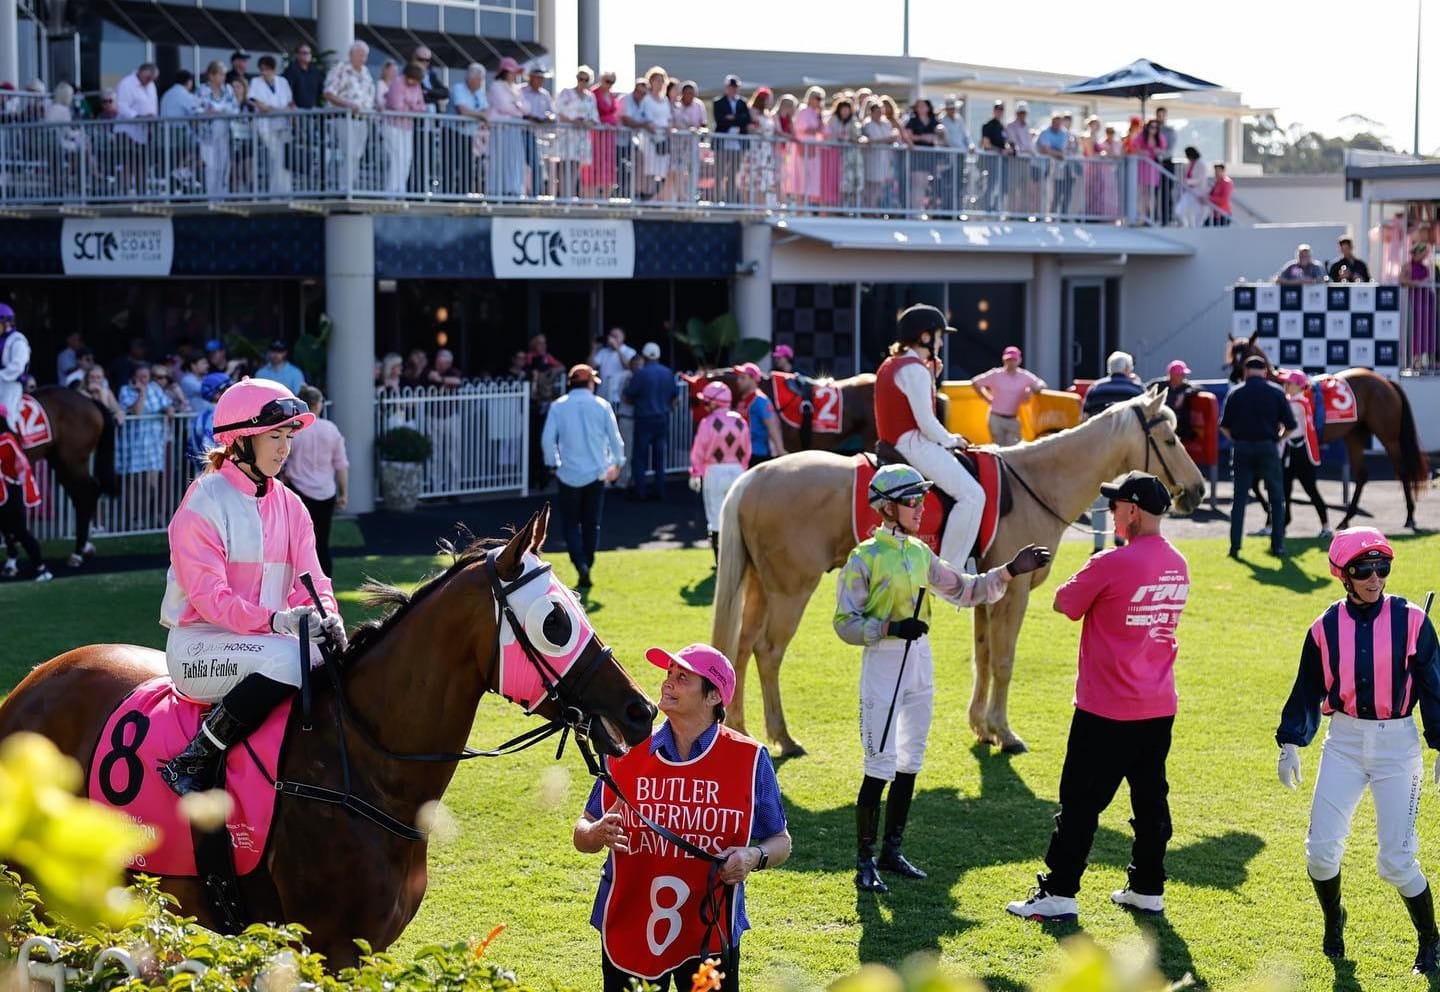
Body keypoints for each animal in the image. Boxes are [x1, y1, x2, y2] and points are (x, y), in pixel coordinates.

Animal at [17, 385, 115, 564]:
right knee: (80, 495)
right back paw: (84, 547)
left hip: (72, 461)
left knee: (87, 492)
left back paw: (79, 552)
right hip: (61, 463)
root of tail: (89, 400)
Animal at [714, 385, 1209, 748]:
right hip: (791, 590)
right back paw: (783, 737)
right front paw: (1004, 732)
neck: (1036, 482)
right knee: (767, 652)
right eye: (1169, 439)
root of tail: (754, 476)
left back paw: (738, 728)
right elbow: (1004, 661)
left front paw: (982, 726)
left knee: (740, 648)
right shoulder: (1015, 594)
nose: (1198, 490)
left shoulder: (990, 592)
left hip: (761, 587)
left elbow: (984, 657)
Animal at [1226, 332, 1428, 529]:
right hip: (1354, 435)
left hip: (1389, 437)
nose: (1234, 377)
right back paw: (1346, 519)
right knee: (1361, 475)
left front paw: (1272, 517)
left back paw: (1410, 517)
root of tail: (1386, 381)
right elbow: (1271, 483)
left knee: (1402, 470)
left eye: (1246, 354)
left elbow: (1269, 483)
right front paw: (1277, 518)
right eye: (1232, 355)